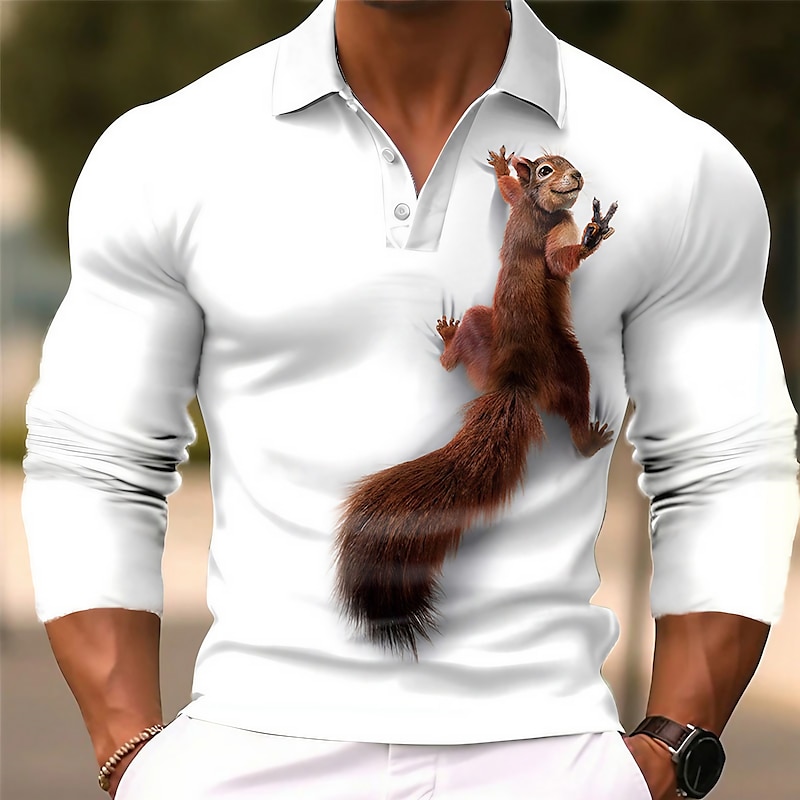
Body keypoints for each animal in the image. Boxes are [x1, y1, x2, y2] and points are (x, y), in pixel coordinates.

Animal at [335, 146, 618, 657]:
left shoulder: (521, 207)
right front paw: (590, 235)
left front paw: (502, 167)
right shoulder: (552, 228)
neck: (539, 209)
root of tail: (513, 382)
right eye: (546, 169)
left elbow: (507, 194)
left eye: (564, 163)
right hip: (571, 364)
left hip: (480, 329)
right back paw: (589, 438)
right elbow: (559, 261)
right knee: (576, 404)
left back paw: (449, 343)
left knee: (457, 358)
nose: (578, 176)